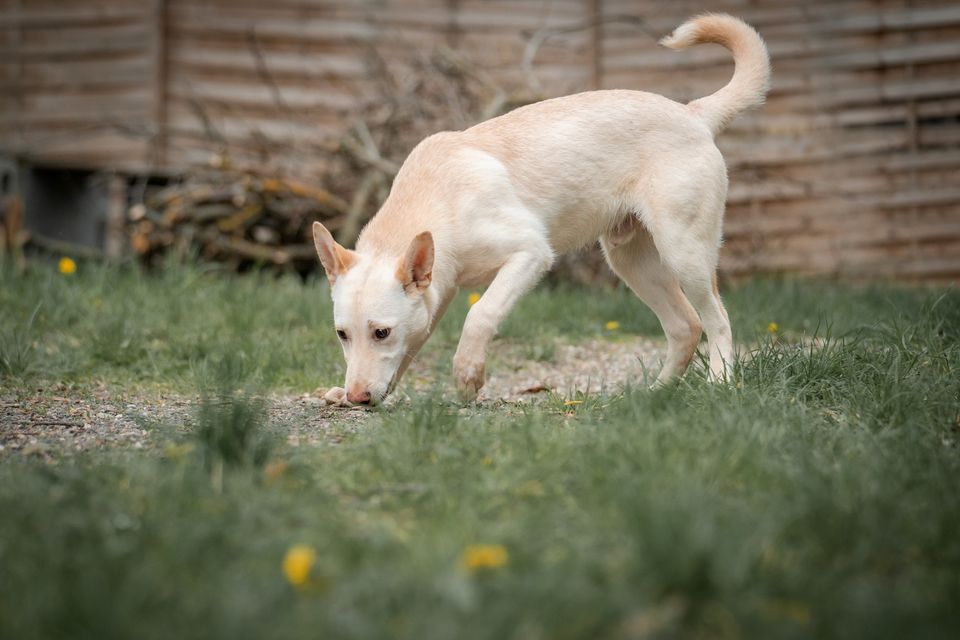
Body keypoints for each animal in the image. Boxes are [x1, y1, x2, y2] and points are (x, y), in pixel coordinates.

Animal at [316, 12, 772, 404]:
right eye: (341, 335)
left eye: (381, 332)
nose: (358, 398)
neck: (439, 197)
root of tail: (693, 113)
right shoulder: (438, 293)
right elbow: (415, 346)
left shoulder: (530, 254)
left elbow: (481, 313)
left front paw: (467, 377)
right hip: (631, 261)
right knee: (685, 326)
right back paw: (654, 395)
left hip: (684, 253)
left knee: (717, 319)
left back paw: (720, 383)